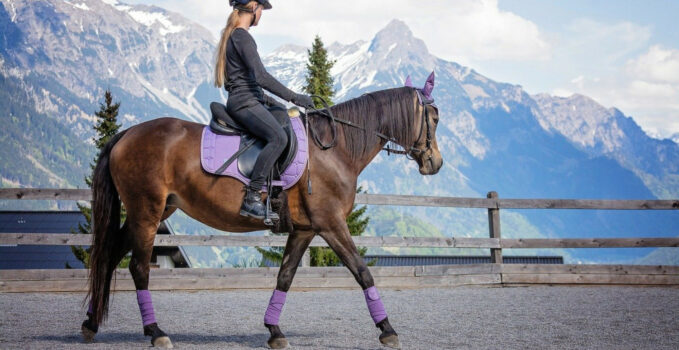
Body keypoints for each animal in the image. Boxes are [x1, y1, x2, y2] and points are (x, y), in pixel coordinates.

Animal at [82, 72, 444, 348]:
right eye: (435, 118)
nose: (436, 163)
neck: (335, 148)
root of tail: (127, 133)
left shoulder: (305, 229)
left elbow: (285, 276)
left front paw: (274, 331)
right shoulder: (331, 224)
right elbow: (362, 271)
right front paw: (387, 329)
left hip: (154, 211)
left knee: (109, 255)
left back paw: (91, 323)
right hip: (147, 212)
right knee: (138, 268)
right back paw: (155, 332)